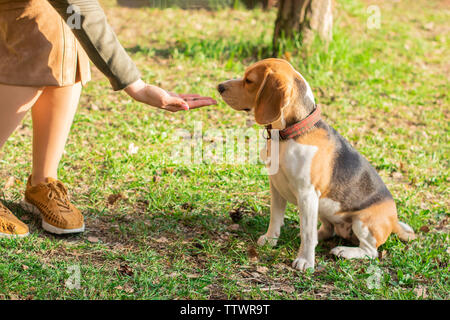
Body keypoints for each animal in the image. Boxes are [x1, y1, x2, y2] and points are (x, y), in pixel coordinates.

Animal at [218, 58, 414, 272]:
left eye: (249, 81)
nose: (219, 87)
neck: (290, 134)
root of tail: (394, 220)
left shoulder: (307, 194)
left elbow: (308, 233)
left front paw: (305, 260)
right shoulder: (276, 187)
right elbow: (275, 218)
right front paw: (271, 240)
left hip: (362, 222)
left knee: (370, 252)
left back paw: (344, 251)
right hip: (322, 209)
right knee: (326, 229)